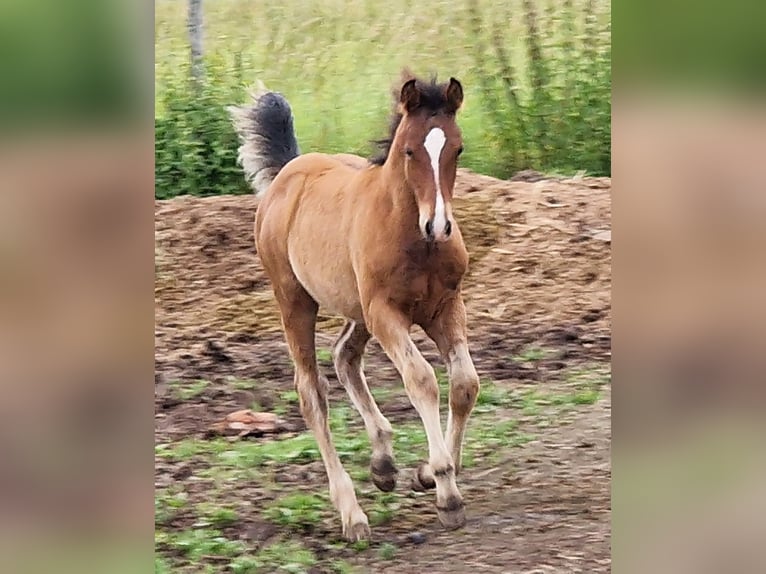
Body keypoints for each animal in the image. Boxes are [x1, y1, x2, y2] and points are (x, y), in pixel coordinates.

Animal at [228, 74, 480, 544]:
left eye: (457, 149)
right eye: (409, 151)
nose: (439, 225)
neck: (412, 237)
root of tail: (290, 172)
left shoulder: (446, 306)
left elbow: (464, 385)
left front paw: (428, 474)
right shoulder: (386, 313)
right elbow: (422, 380)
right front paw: (446, 491)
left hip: (356, 309)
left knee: (344, 355)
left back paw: (383, 466)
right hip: (296, 301)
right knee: (312, 393)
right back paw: (352, 515)